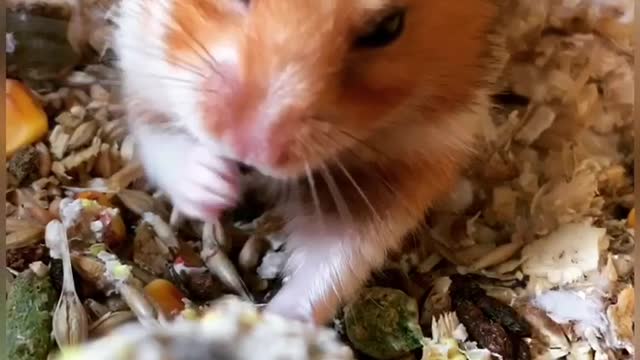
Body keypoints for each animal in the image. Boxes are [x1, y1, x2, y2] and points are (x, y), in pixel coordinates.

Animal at [114, 0, 504, 324]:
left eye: (388, 27)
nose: (248, 151)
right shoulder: (143, 56)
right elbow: (159, 136)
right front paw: (214, 190)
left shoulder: (416, 156)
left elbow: (337, 256)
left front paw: (276, 327)